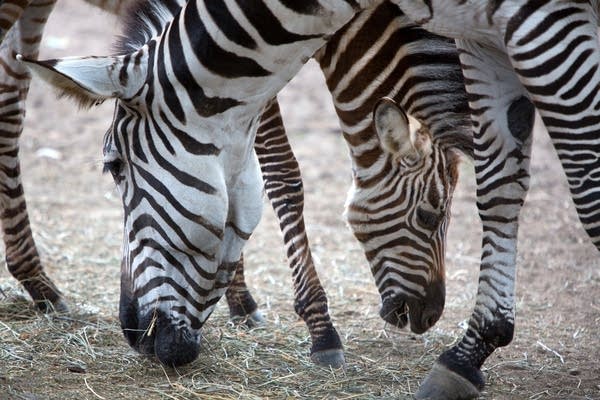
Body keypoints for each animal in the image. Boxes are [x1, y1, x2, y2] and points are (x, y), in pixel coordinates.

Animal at [384, 1, 600, 398]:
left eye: (428, 217)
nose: (418, 317)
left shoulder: (549, 23)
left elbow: (592, 194)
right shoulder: (482, 38)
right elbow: (499, 186)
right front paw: (468, 356)